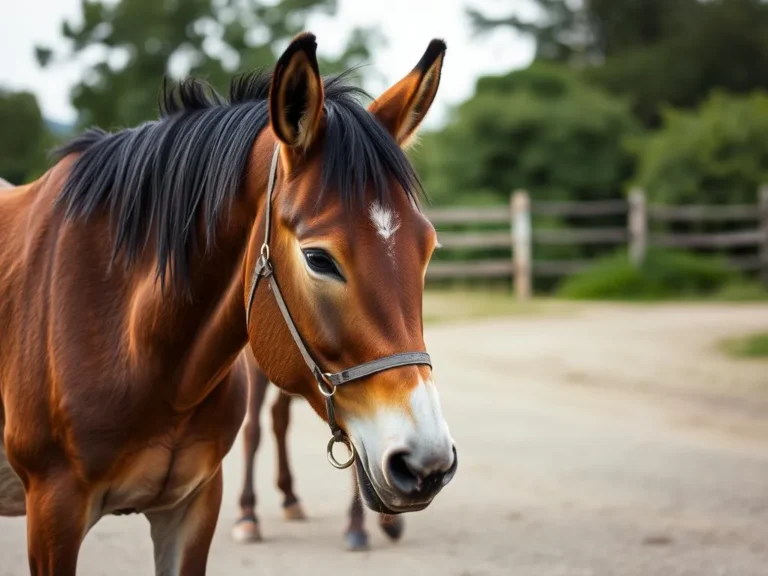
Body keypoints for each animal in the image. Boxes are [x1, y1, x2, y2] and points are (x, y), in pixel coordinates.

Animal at [231, 348, 404, 552]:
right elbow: (253, 430)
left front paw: (384, 519)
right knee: (255, 426)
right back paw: (249, 514)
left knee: (279, 416)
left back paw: (290, 497)